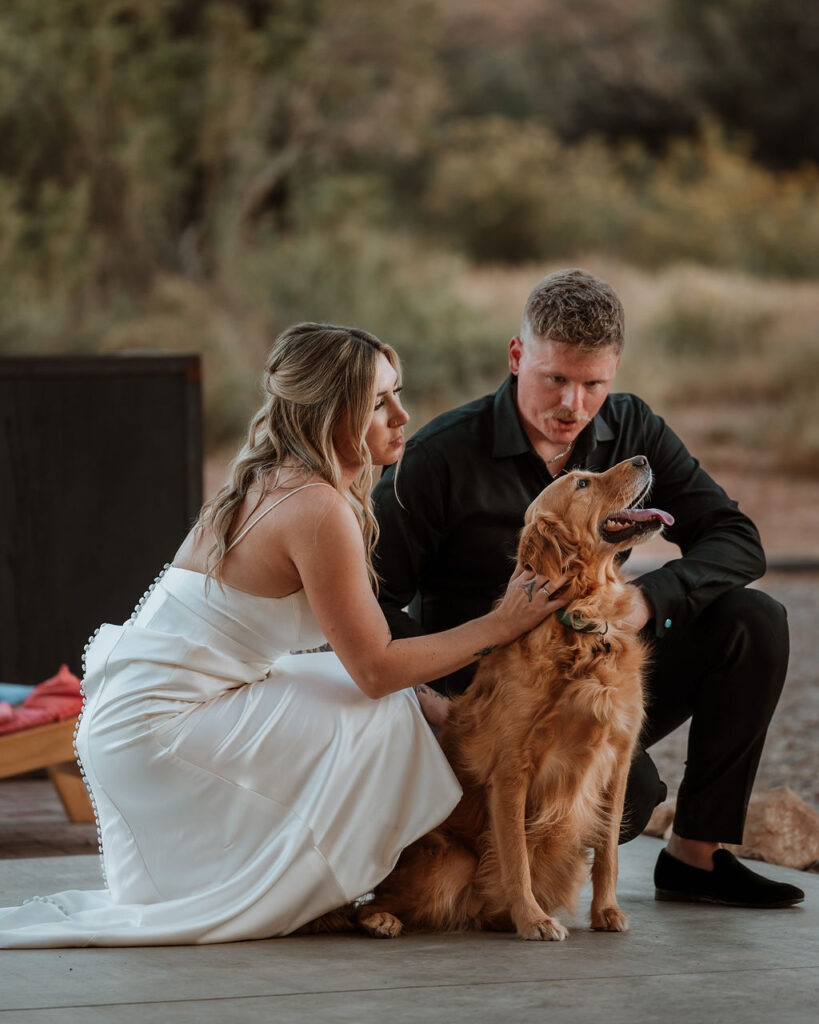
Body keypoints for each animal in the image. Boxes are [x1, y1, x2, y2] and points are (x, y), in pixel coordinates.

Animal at [358, 458, 671, 942]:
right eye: (583, 483)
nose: (642, 460)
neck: (580, 625)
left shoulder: (617, 761)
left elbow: (607, 851)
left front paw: (606, 911)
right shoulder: (511, 769)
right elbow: (515, 856)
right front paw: (533, 919)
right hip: (449, 863)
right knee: (375, 902)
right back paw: (382, 919)